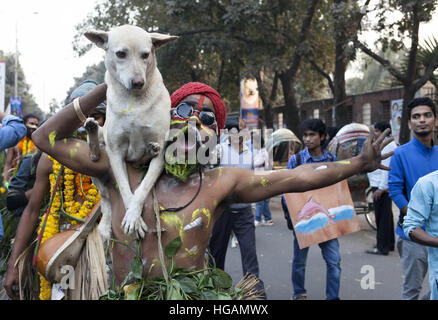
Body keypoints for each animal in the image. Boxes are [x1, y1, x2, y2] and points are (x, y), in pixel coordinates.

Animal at [85, 25, 178, 238]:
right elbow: (125, 191)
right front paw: (133, 218)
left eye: (145, 54)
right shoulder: (115, 152)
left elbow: (142, 188)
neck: (134, 101)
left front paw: (134, 214)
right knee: (105, 196)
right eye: (121, 54)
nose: (138, 82)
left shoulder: (161, 151)